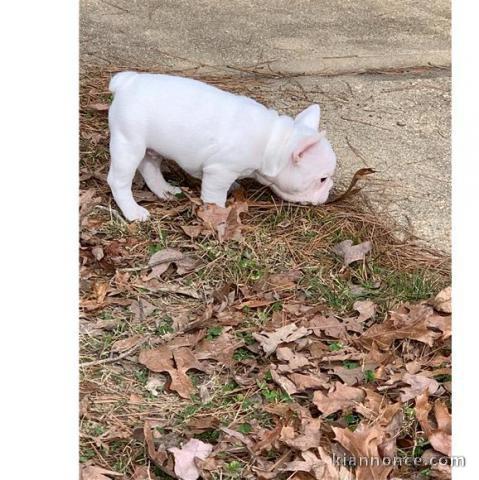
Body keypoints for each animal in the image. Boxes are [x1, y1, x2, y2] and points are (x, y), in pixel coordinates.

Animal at [107, 71, 338, 221]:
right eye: (322, 179)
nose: (330, 187)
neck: (274, 142)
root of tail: (127, 82)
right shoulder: (220, 170)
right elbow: (214, 194)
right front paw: (218, 213)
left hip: (150, 148)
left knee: (150, 167)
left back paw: (165, 191)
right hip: (128, 144)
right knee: (118, 181)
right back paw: (133, 212)